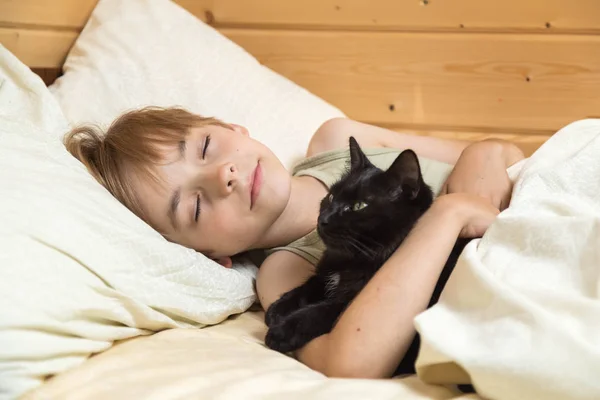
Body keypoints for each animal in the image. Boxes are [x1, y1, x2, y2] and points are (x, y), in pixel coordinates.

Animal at [264, 137, 468, 376]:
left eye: (359, 206)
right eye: (331, 196)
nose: (323, 219)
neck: (352, 259)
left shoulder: (348, 302)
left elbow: (323, 310)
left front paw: (282, 331)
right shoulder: (326, 273)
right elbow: (309, 285)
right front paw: (278, 308)